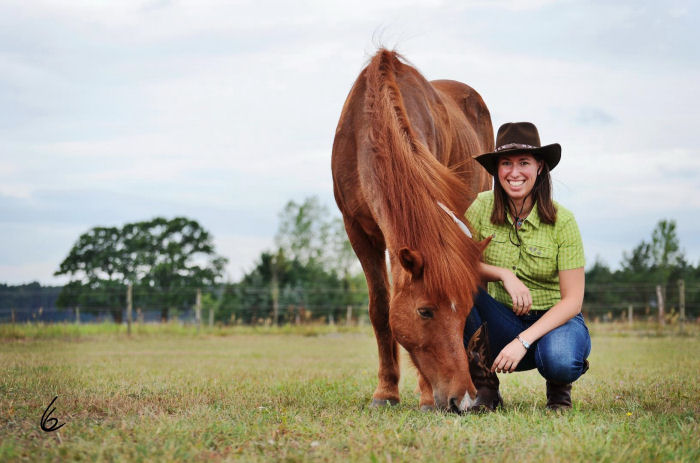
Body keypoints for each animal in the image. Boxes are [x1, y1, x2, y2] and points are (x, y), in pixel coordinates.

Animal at [332, 49, 492, 414]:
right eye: (424, 311)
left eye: (464, 311)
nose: (463, 399)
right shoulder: (358, 232)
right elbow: (381, 309)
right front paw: (386, 392)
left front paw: (426, 396)